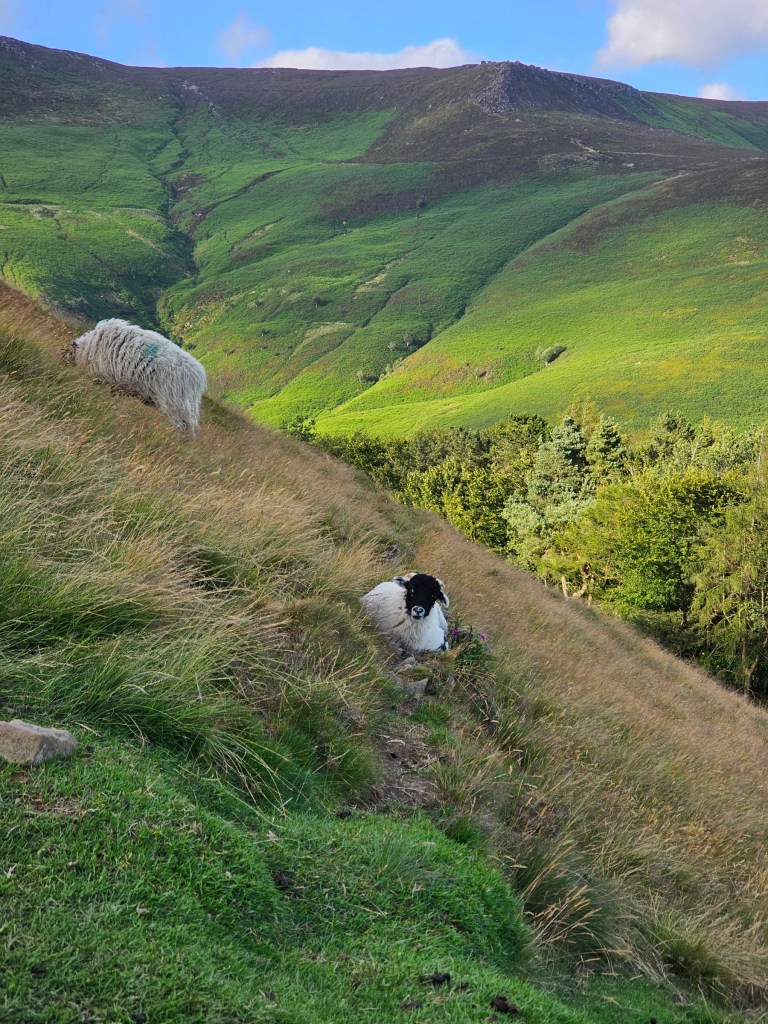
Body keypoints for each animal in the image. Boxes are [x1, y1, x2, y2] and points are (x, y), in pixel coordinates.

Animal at [66, 319, 206, 435]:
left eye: (70, 352)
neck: (88, 348)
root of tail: (199, 377)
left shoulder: (107, 376)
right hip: (187, 407)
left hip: (173, 403)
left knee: (179, 426)